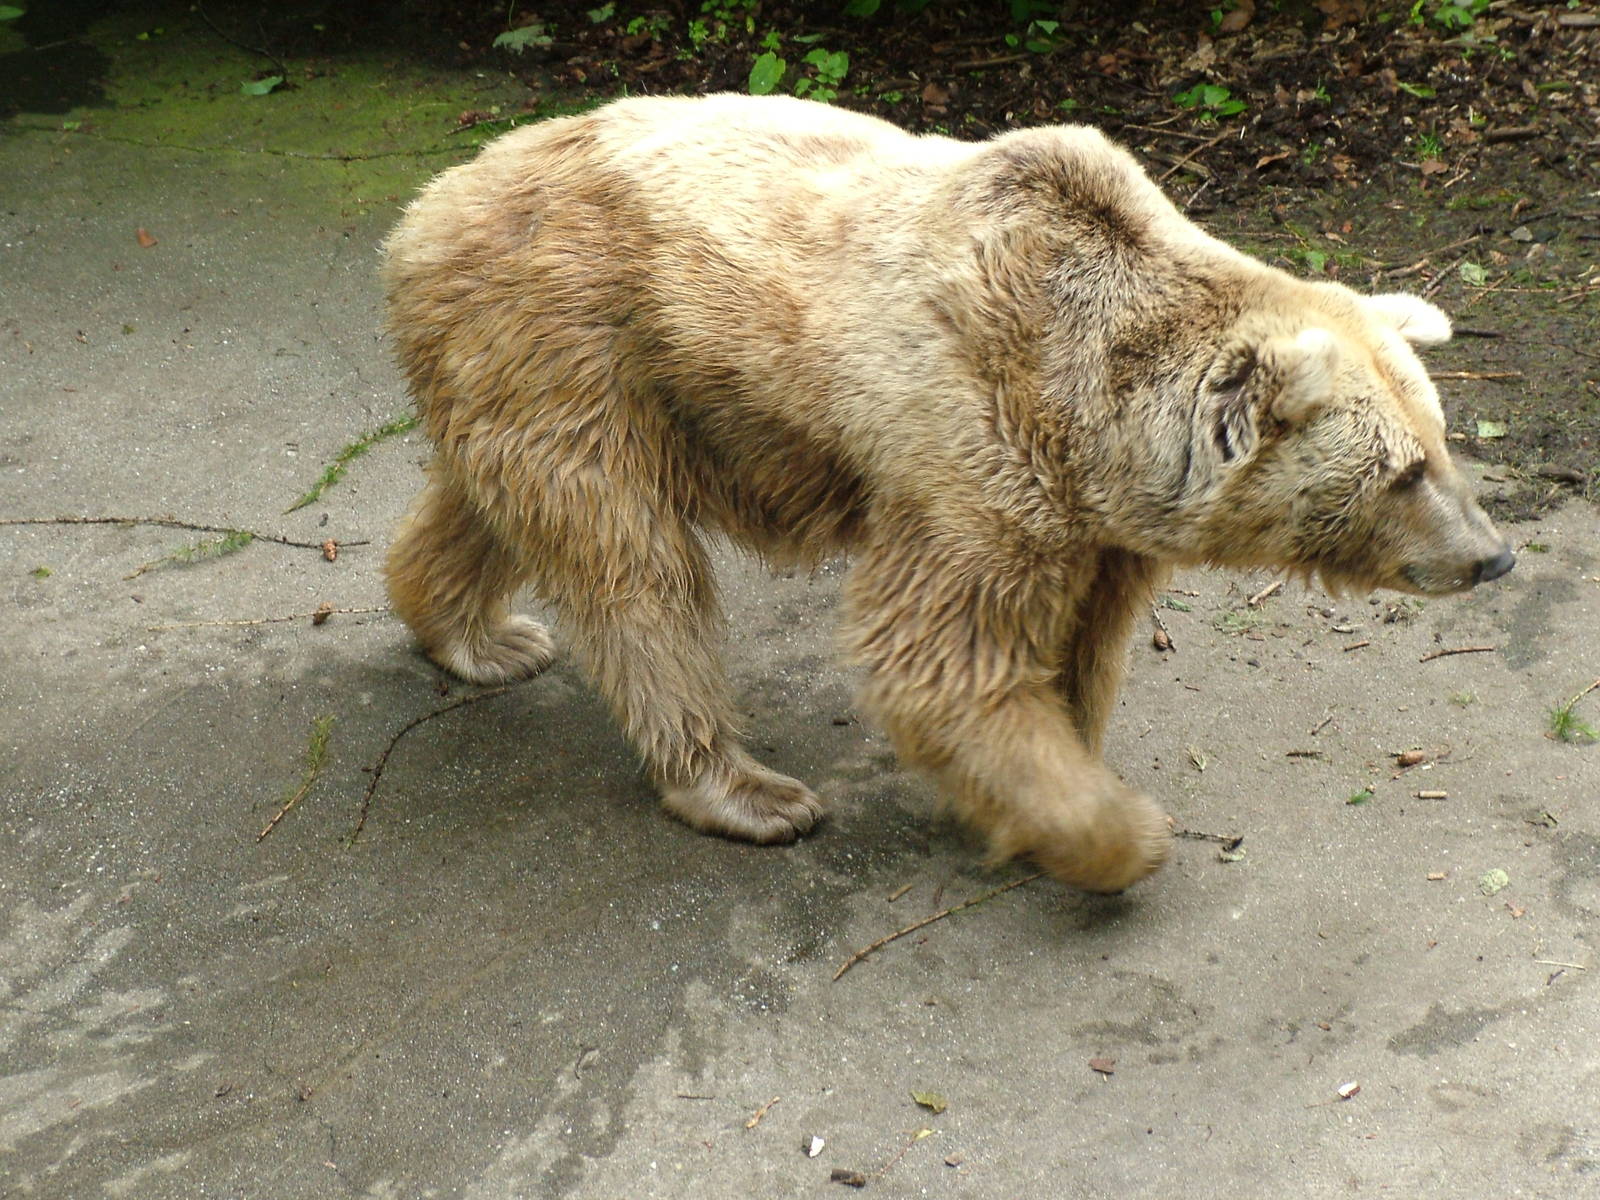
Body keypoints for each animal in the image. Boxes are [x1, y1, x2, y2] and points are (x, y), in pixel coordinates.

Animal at [381, 94, 1513, 894]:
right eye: (1404, 471)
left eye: (1442, 443)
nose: (1490, 555)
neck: (1089, 414)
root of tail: (426, 207)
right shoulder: (976, 458)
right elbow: (944, 659)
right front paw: (1116, 830)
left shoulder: (1096, 527)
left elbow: (1082, 647)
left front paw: (1068, 759)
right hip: (581, 332)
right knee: (634, 569)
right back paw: (742, 788)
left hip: (559, 372)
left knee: (499, 505)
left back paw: (476, 633)